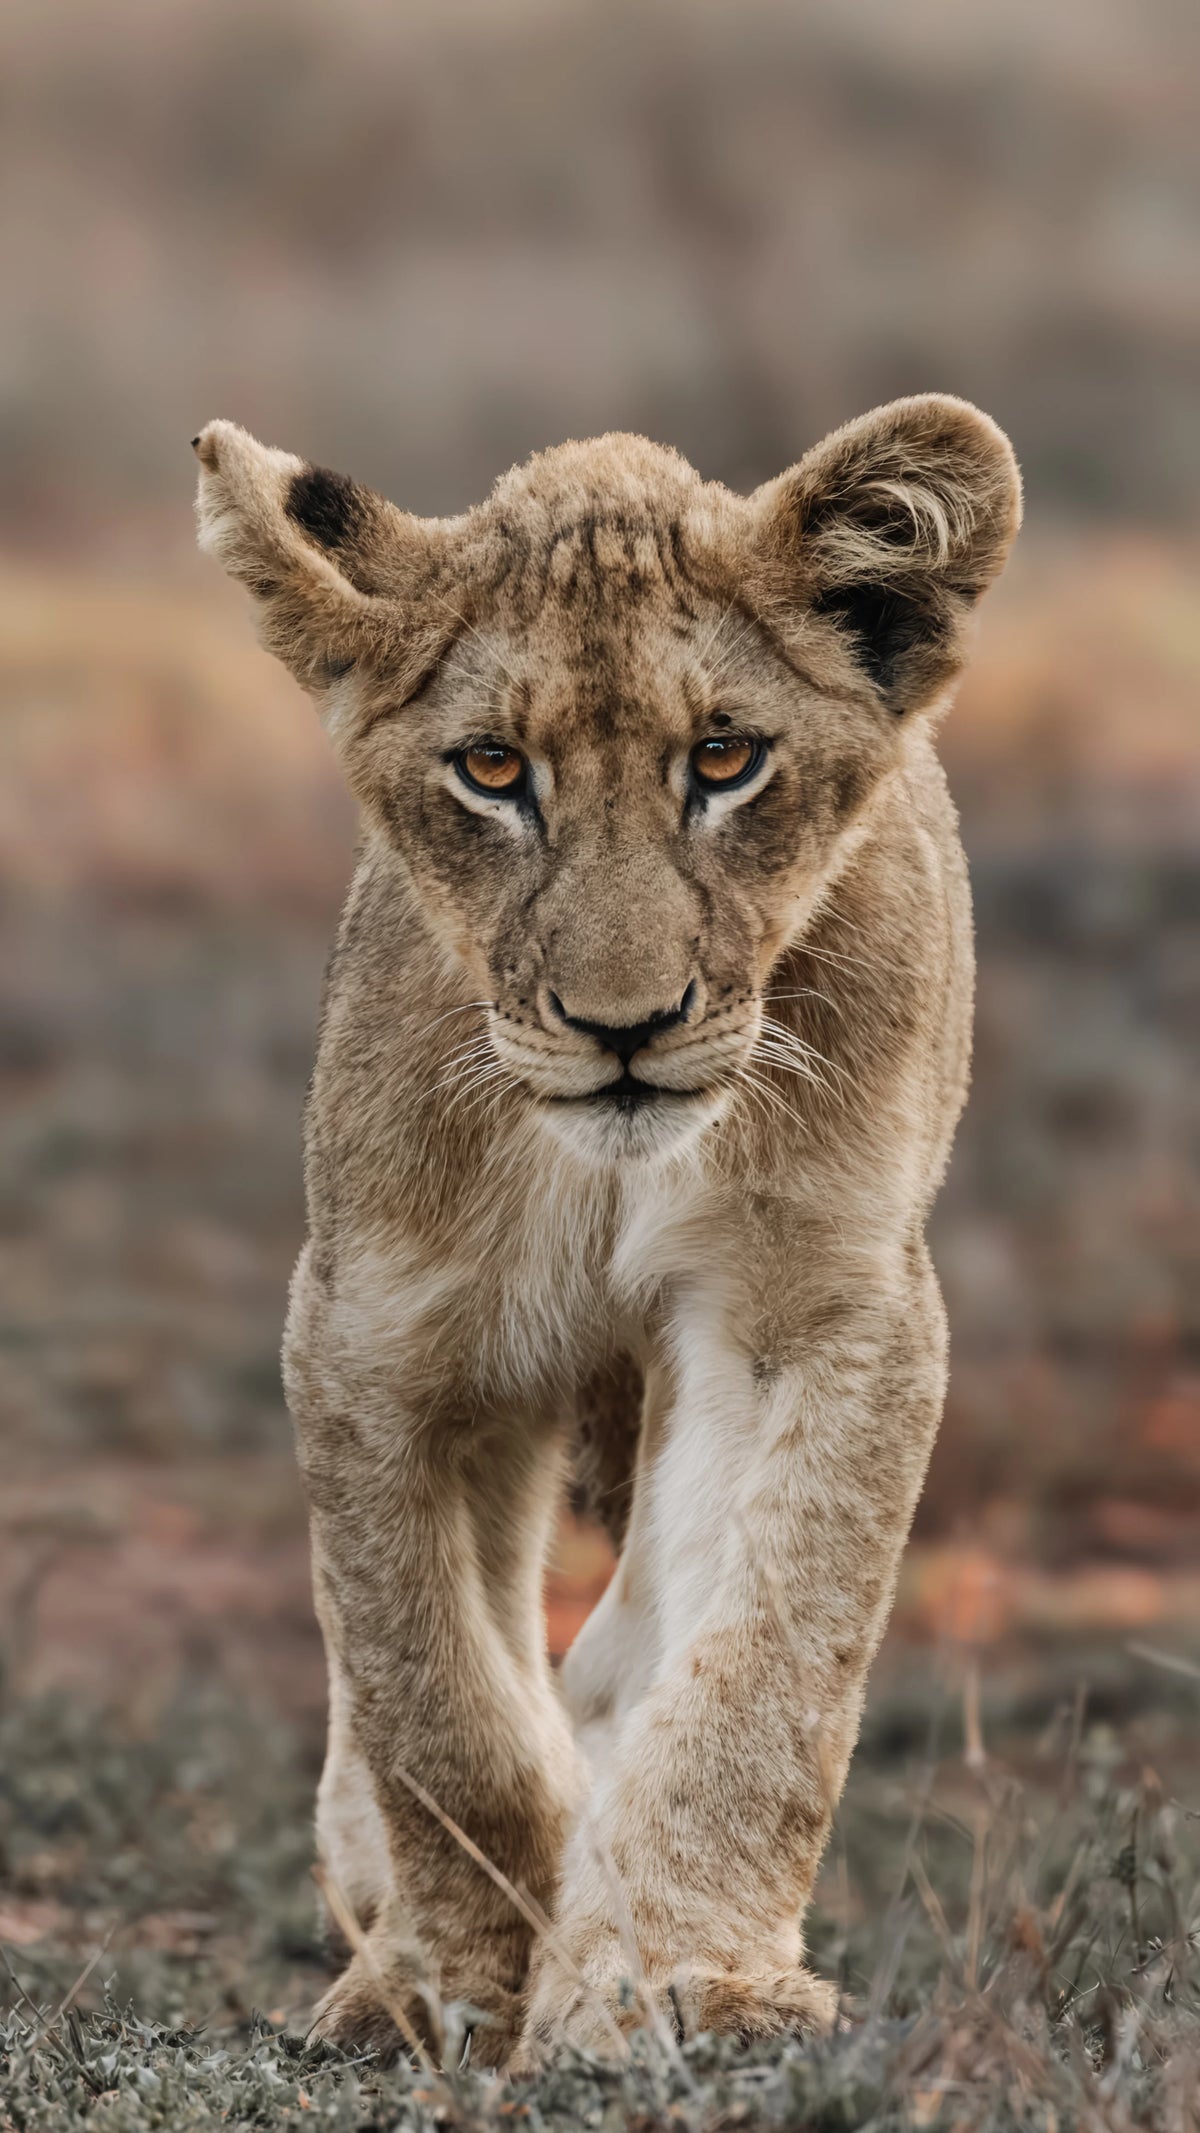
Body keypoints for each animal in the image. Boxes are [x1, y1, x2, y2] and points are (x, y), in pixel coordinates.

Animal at [193, 395, 1020, 2069]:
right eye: (494, 767)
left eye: (724, 756)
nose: (624, 1026)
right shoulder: (378, 1324)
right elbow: (430, 1697)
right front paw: (460, 1982)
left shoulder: (815, 1306)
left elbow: (766, 1662)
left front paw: (680, 1981)